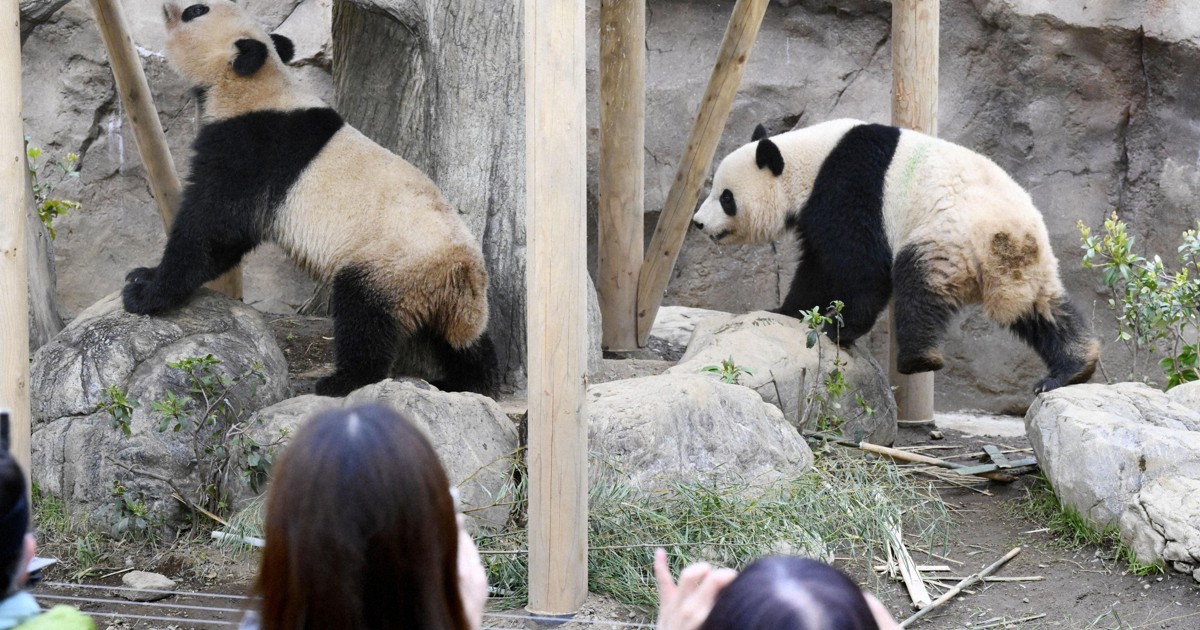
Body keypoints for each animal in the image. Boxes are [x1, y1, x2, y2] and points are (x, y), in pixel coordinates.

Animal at [123, 0, 494, 397]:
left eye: (196, 10)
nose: (168, 5)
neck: (256, 85)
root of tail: (460, 270)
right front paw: (143, 274)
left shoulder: (252, 147)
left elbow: (213, 230)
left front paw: (146, 293)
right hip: (454, 298)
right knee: (464, 342)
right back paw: (465, 380)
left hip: (393, 265)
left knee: (364, 313)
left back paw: (343, 380)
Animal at [691, 119, 1099, 393]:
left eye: (725, 197)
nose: (697, 222)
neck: (809, 160)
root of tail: (1011, 233)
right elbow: (817, 265)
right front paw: (788, 310)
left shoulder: (850, 191)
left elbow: (859, 266)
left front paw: (839, 328)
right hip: (1025, 264)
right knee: (1040, 311)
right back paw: (1073, 367)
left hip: (947, 237)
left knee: (918, 286)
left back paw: (919, 358)